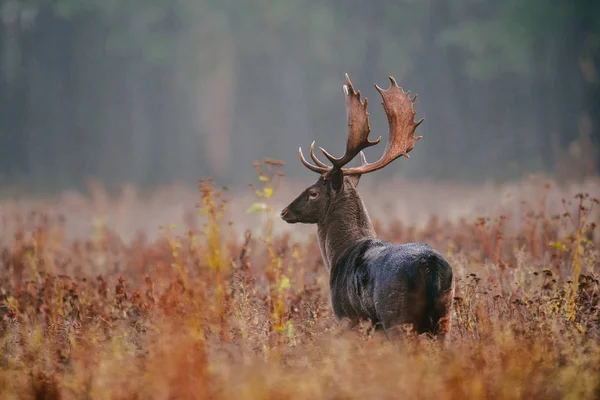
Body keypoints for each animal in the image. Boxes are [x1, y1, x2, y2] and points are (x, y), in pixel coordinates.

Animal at [282, 74, 454, 340]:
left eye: (313, 193)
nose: (285, 211)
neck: (338, 254)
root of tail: (432, 268)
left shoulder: (347, 317)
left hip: (397, 318)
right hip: (445, 318)